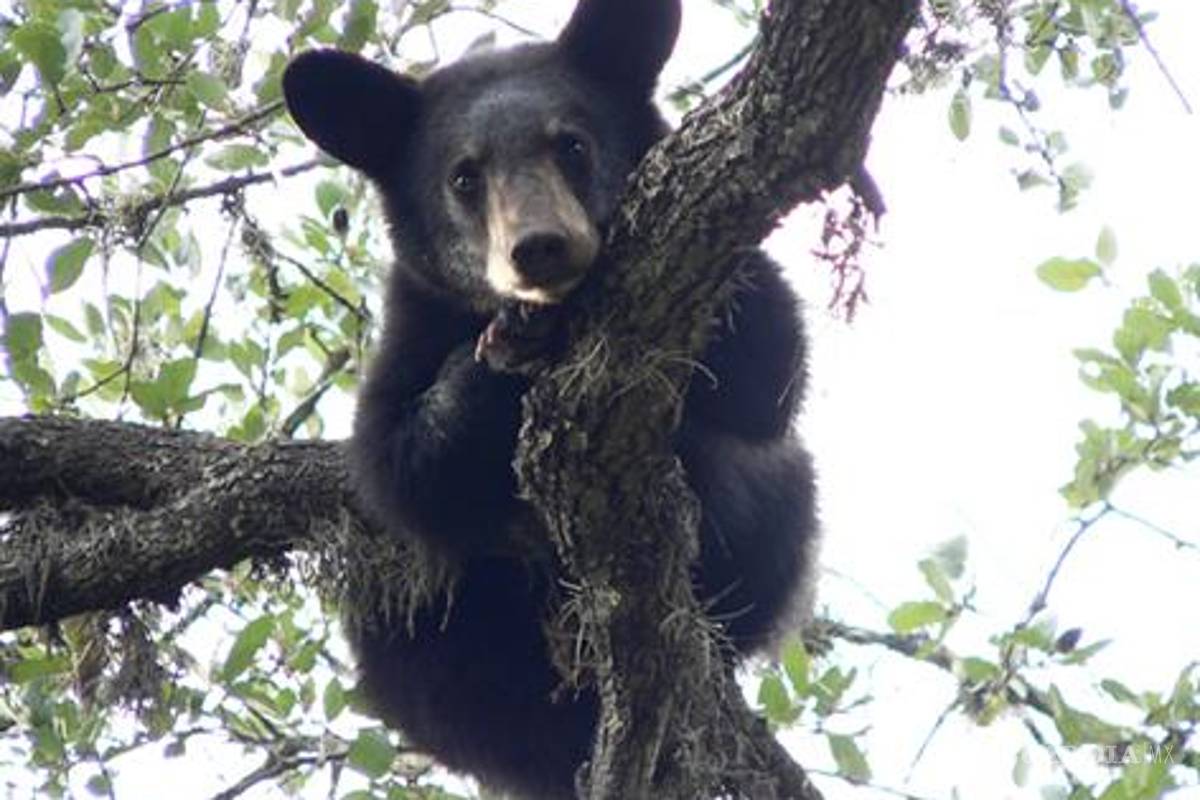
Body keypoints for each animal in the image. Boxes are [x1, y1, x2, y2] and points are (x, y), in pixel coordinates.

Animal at [281, 0, 817, 797]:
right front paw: (497, 357)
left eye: (572, 145)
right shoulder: (410, 329)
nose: (539, 246)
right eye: (464, 177)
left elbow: (769, 372)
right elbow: (399, 471)